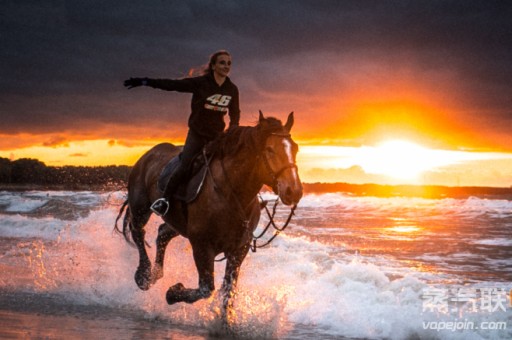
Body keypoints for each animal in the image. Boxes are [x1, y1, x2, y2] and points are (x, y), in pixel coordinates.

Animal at [114, 111, 302, 322]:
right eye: (269, 149)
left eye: (295, 148)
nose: (294, 191)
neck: (231, 193)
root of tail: (148, 154)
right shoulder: (202, 246)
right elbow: (206, 289)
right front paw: (172, 293)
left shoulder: (239, 249)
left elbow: (228, 291)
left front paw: (226, 321)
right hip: (140, 207)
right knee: (138, 231)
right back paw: (144, 276)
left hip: (179, 223)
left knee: (162, 233)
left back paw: (155, 274)